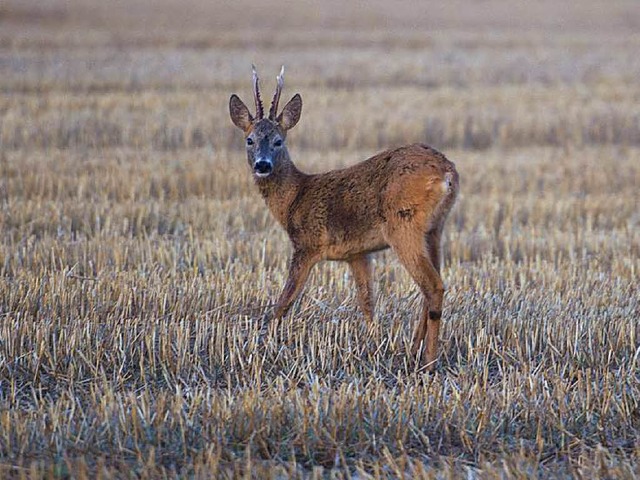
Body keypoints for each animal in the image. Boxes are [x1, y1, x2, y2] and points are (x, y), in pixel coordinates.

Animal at [230, 65, 460, 368]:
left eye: (279, 141)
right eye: (250, 140)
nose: (262, 165)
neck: (295, 197)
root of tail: (447, 172)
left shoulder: (307, 244)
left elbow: (284, 301)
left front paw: (263, 341)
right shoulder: (357, 254)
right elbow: (367, 302)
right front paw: (374, 343)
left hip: (404, 223)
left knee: (433, 286)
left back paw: (428, 362)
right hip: (435, 228)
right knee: (431, 285)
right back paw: (413, 351)